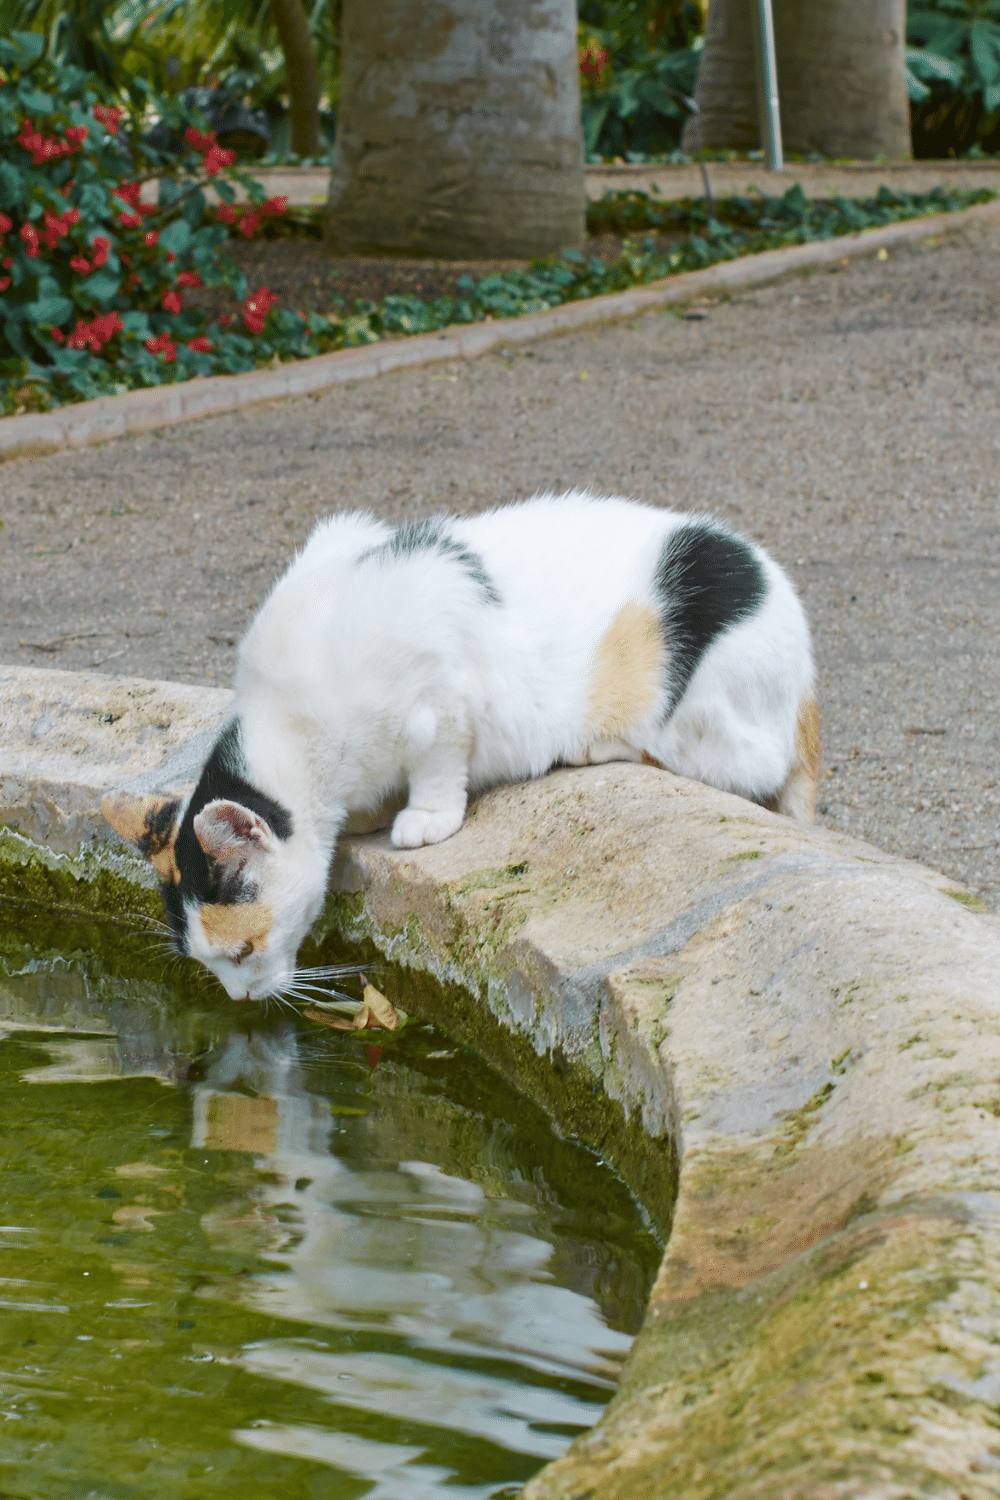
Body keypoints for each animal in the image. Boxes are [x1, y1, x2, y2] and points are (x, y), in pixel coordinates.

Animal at [103, 495, 821, 1008]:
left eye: (244, 952)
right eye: (210, 963)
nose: (242, 999)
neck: (292, 723)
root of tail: (805, 673)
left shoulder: (440, 690)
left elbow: (438, 761)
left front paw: (423, 820)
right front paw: (368, 815)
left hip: (701, 709)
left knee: (741, 767)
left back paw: (598, 748)